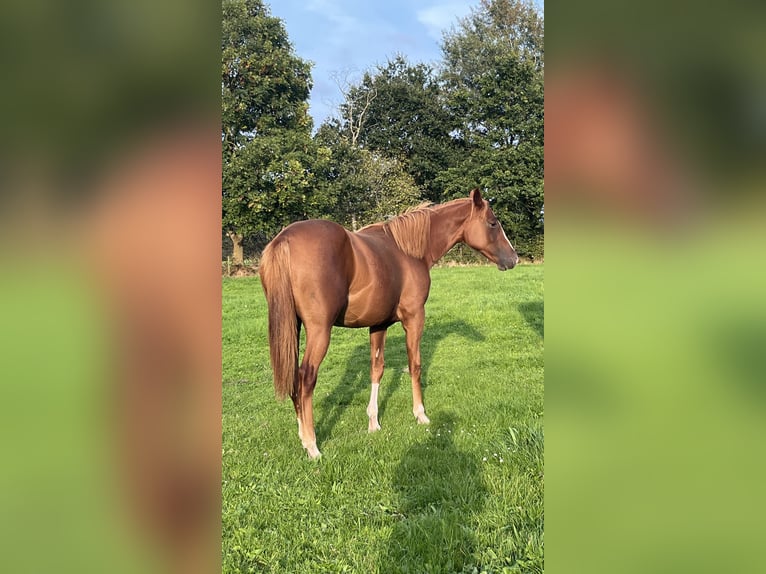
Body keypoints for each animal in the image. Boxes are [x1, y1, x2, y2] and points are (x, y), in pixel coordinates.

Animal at [258, 188, 518, 458]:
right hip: (319, 331)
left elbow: (377, 369)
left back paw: (303, 436)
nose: (514, 258)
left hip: (293, 328)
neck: (409, 252)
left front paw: (373, 422)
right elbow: (415, 365)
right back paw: (312, 444)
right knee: (305, 378)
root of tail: (284, 240)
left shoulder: (378, 324)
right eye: (493, 223)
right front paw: (420, 414)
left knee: (293, 379)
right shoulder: (414, 318)